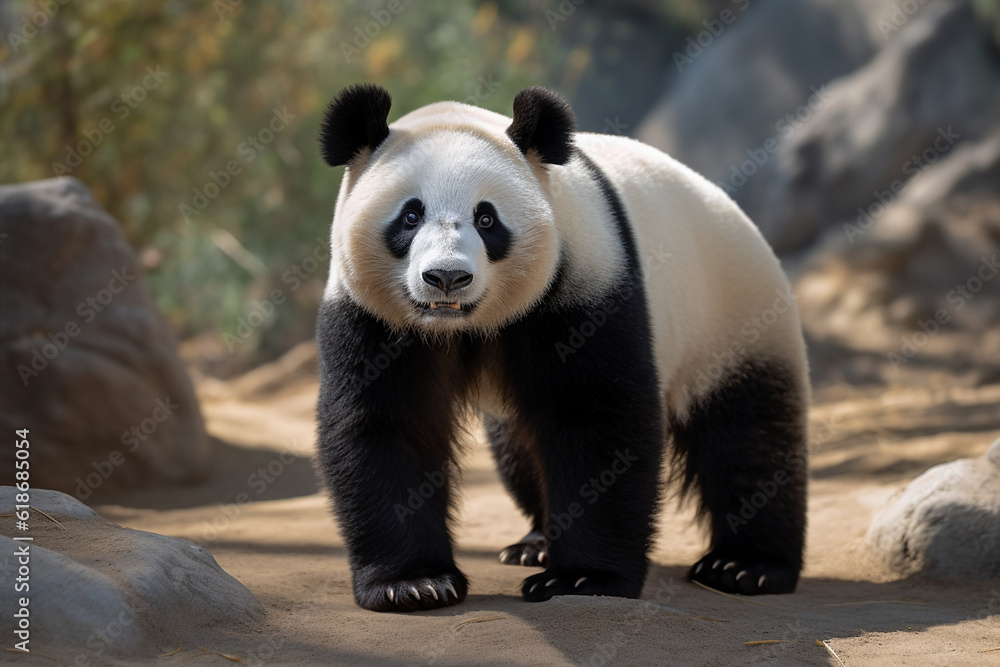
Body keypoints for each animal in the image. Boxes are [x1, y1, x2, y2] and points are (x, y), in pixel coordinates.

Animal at [316, 84, 809, 613]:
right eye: (410, 215)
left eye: (486, 218)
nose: (447, 277)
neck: (460, 326)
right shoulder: (370, 316)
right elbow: (387, 423)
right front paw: (413, 583)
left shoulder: (587, 283)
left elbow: (595, 420)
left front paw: (581, 579)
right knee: (520, 448)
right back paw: (535, 544)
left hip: (733, 316)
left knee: (748, 436)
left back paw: (746, 566)